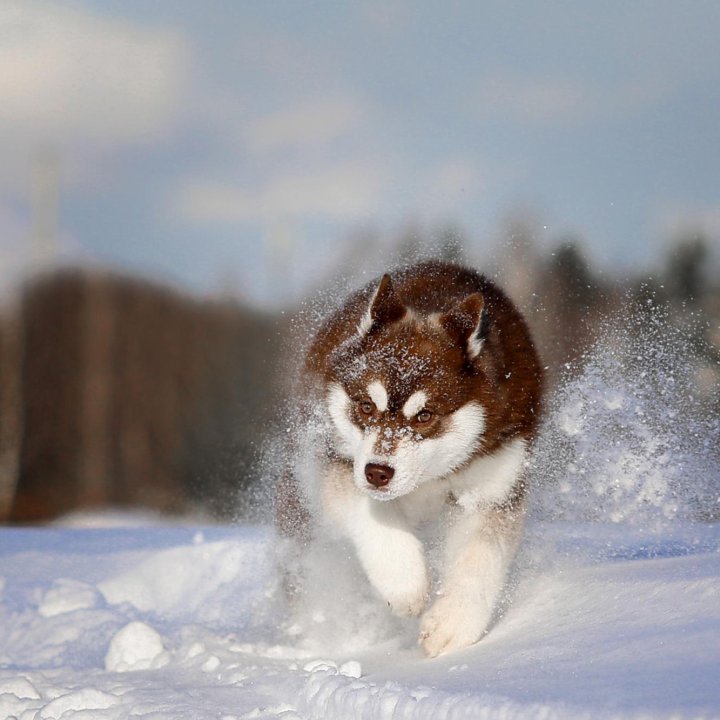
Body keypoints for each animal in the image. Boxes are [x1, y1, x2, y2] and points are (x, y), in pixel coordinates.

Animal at [278, 260, 544, 660]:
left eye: (424, 416)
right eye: (366, 407)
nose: (378, 473)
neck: (428, 479)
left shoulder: (492, 481)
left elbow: (480, 557)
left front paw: (453, 624)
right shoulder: (339, 462)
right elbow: (371, 515)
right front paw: (404, 580)